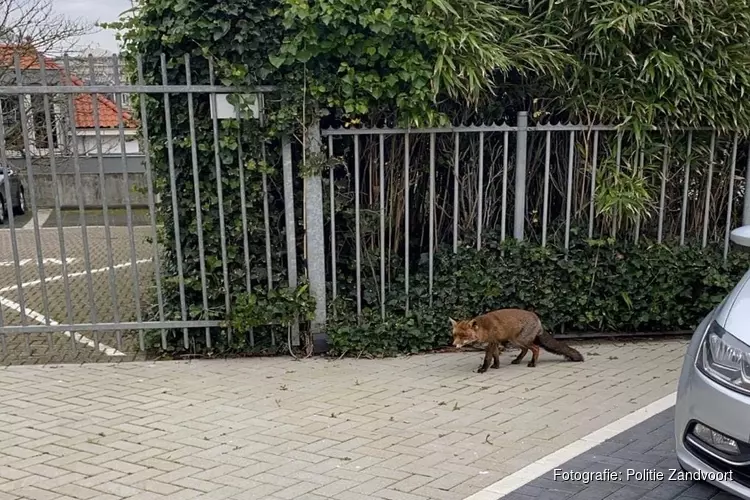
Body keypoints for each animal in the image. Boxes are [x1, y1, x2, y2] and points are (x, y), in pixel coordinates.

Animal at [450, 306, 584, 374]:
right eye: (455, 335)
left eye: (463, 336)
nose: (453, 344)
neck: (483, 329)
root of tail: (538, 319)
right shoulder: (495, 343)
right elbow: (496, 356)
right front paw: (496, 366)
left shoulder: (491, 343)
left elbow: (487, 358)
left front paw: (483, 369)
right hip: (514, 340)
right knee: (525, 350)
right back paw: (518, 360)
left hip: (520, 340)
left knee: (536, 348)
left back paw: (533, 363)